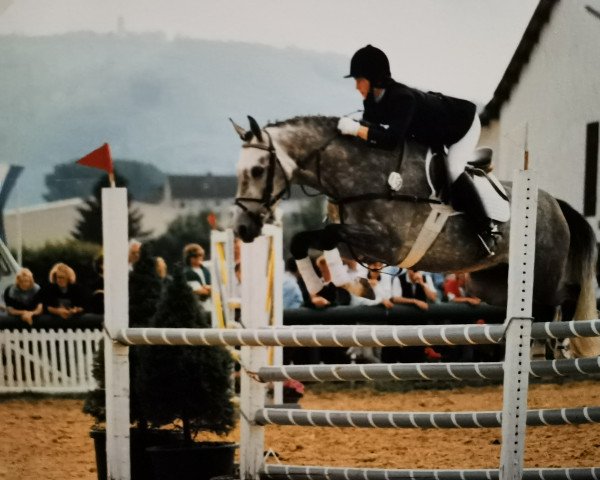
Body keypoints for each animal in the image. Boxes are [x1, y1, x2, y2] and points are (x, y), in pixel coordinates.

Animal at [231, 115, 600, 356]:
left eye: (258, 170)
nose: (242, 228)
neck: (364, 175)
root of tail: (555, 203)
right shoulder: (357, 243)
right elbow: (304, 242)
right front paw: (343, 287)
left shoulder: (385, 244)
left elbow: (325, 238)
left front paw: (353, 286)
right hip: (489, 285)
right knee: (539, 307)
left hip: (542, 273)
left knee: (565, 295)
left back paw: (561, 342)